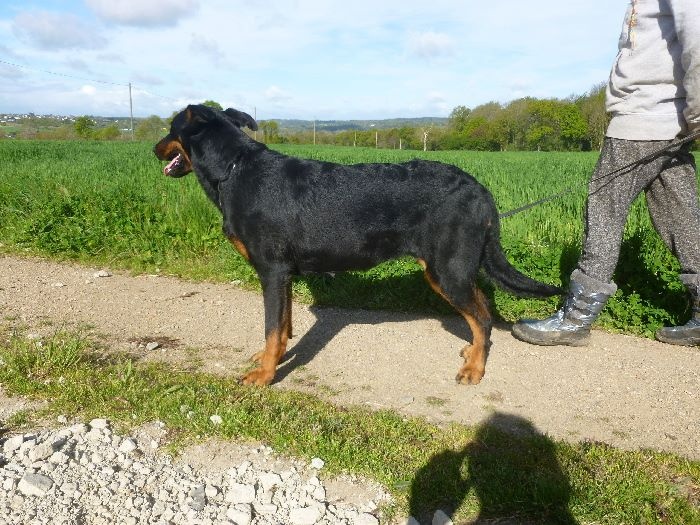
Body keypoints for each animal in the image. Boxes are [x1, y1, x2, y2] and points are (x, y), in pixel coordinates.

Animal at [154, 104, 561, 386]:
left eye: (170, 128)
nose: (154, 149)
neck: (234, 169)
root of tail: (479, 190)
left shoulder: (271, 271)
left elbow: (272, 328)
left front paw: (265, 376)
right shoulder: (282, 276)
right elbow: (282, 327)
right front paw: (274, 358)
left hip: (448, 271)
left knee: (483, 317)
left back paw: (475, 367)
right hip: (448, 270)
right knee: (481, 312)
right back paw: (473, 351)